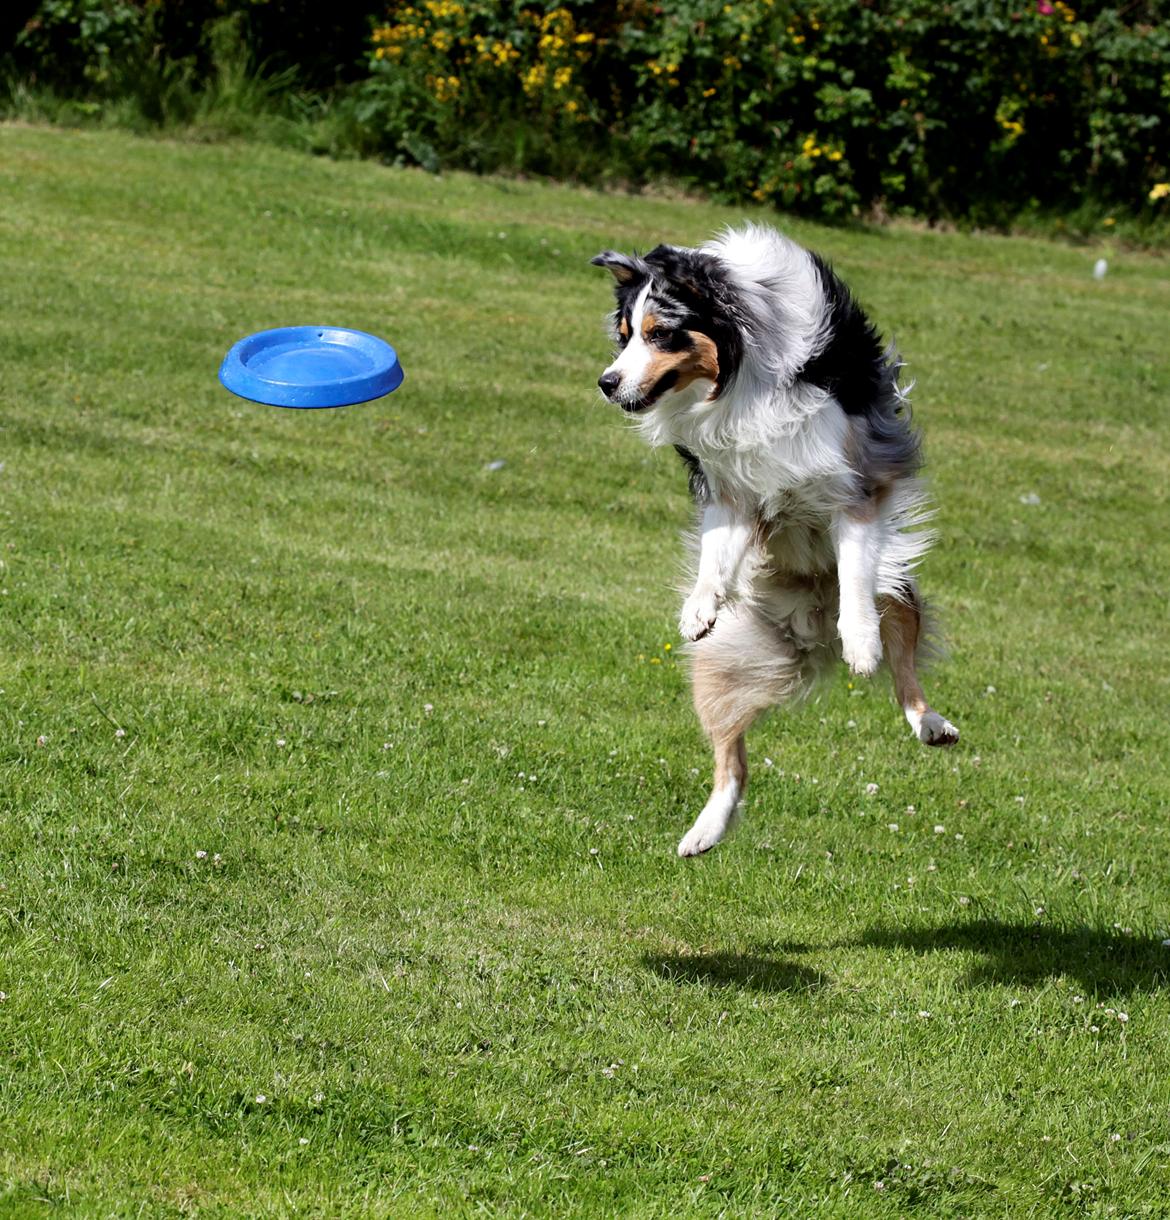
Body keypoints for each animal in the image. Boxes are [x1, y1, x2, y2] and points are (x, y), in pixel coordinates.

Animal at [595, 226, 961, 858]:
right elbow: (717, 550)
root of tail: (810, 635)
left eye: (661, 333)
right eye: (624, 335)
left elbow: (855, 570)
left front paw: (861, 641)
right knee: (733, 761)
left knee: (904, 667)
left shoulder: (854, 484)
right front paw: (699, 605)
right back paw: (703, 832)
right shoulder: (732, 485)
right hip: (719, 664)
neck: (742, 368)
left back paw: (927, 720)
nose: (607, 383)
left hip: (899, 589)